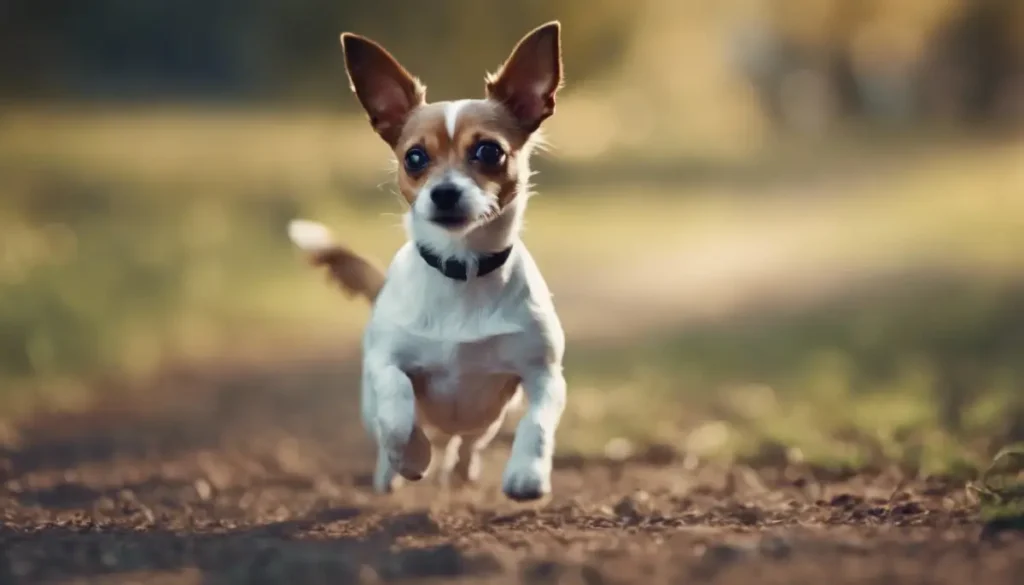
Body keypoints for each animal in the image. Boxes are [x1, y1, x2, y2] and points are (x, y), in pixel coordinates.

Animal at [288, 20, 569, 502]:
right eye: (414, 157)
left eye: (489, 152)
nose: (444, 193)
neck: (462, 270)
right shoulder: (386, 363)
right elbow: (399, 413)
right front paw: (412, 457)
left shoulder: (544, 374)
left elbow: (537, 424)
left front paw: (527, 475)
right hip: (370, 403)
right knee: (393, 430)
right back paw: (392, 474)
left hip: (487, 418)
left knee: (468, 443)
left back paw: (462, 471)